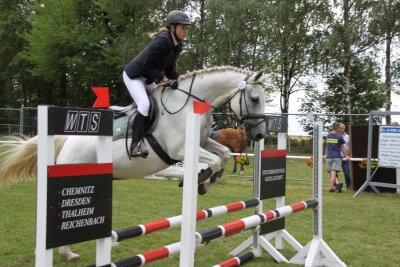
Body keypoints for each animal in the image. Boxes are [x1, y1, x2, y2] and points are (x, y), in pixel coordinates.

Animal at [1, 65, 268, 262]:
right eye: (255, 98)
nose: (259, 135)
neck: (189, 104)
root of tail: (67, 138)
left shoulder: (203, 143)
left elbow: (223, 155)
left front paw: (206, 183)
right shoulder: (180, 149)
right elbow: (214, 160)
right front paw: (200, 180)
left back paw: (68, 253)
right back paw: (64, 252)